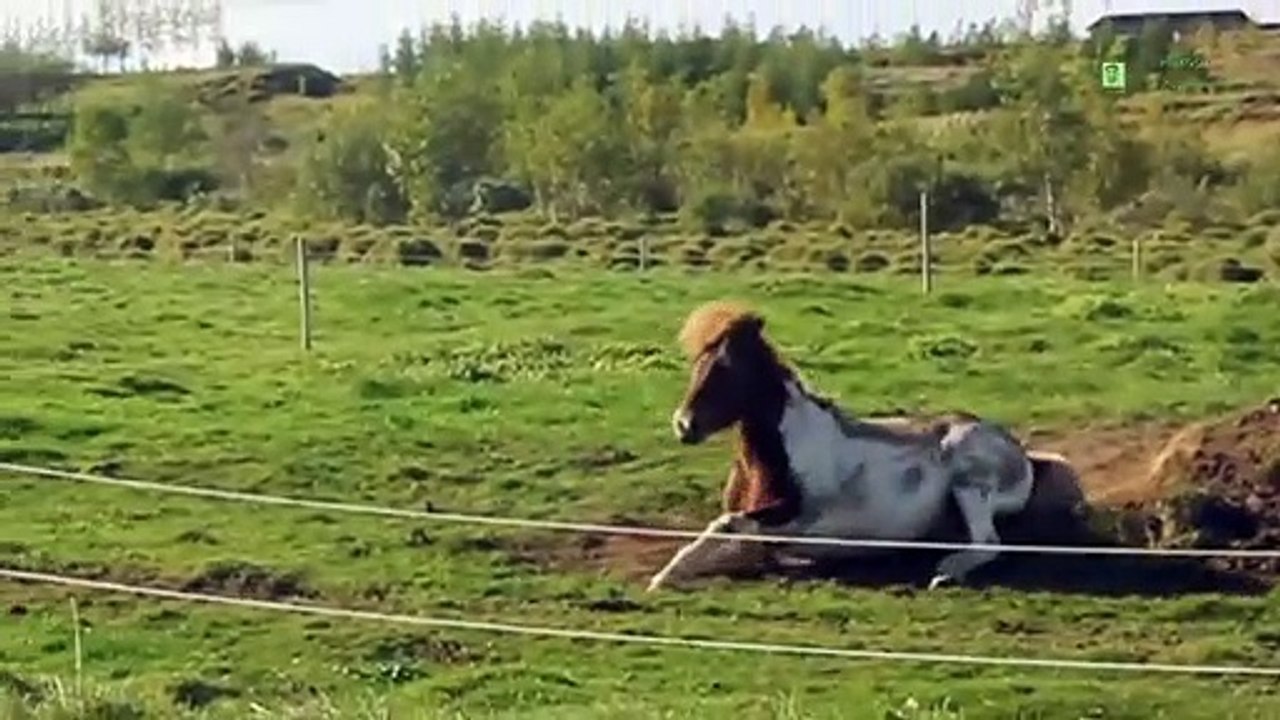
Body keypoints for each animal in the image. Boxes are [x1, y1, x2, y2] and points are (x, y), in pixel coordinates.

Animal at [646, 300, 1041, 592]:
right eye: (698, 363)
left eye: (729, 367)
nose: (683, 425)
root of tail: (1019, 453)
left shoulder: (795, 519)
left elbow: (723, 525)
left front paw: (661, 577)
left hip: (970, 484)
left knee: (989, 542)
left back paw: (945, 572)